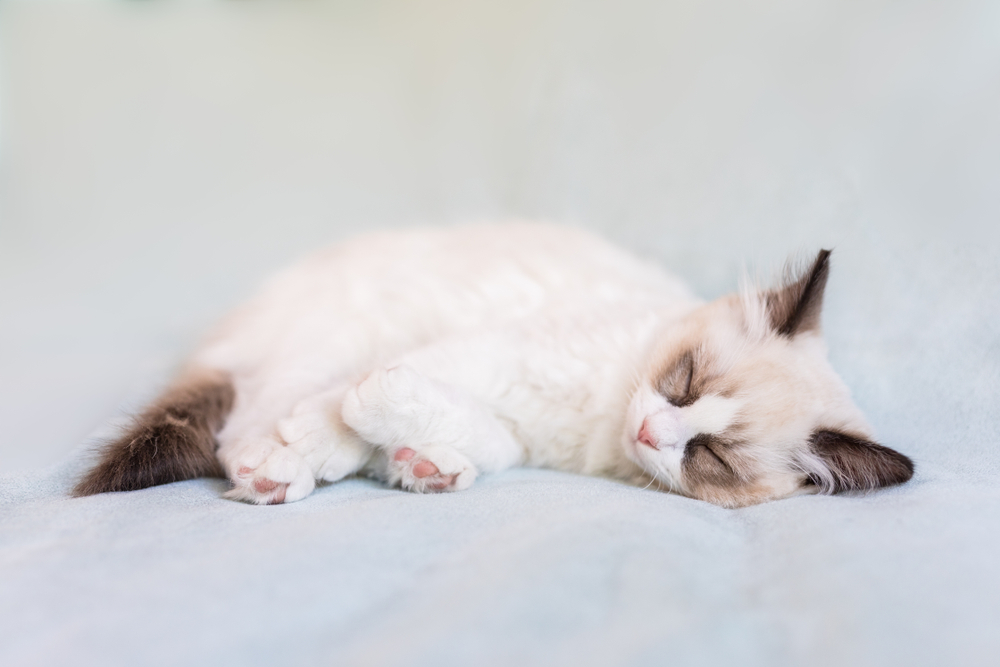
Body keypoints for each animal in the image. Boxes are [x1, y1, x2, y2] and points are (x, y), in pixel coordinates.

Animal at [72, 224, 916, 506]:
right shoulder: (494, 353)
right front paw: (346, 436)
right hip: (334, 332)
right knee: (245, 423)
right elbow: (347, 408)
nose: (653, 430)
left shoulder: (513, 414)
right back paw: (273, 473)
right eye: (684, 385)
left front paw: (416, 456)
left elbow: (469, 430)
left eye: (710, 455)